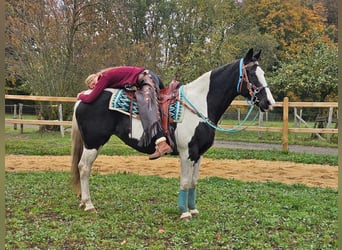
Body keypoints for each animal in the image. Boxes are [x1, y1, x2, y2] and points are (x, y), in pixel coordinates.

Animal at [71, 47, 276, 220]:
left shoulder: (198, 155)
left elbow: (193, 182)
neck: (200, 103)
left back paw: (83, 202)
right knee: (84, 168)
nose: (270, 103)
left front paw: (193, 209)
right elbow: (185, 182)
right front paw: (184, 213)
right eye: (252, 74)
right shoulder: (187, 153)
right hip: (93, 143)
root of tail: (83, 97)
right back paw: (88, 204)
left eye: (263, 74)